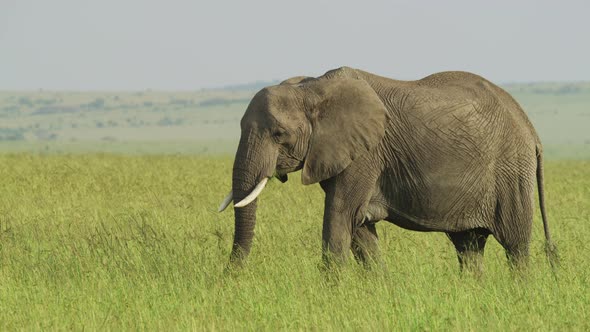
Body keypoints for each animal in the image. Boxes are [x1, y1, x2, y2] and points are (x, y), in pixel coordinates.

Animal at [219, 65, 560, 272]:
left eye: (279, 134)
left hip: (511, 170)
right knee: (469, 247)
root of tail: (531, 128)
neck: (311, 87)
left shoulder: (366, 155)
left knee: (515, 246)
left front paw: (331, 292)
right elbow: (360, 231)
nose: (229, 278)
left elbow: (340, 218)